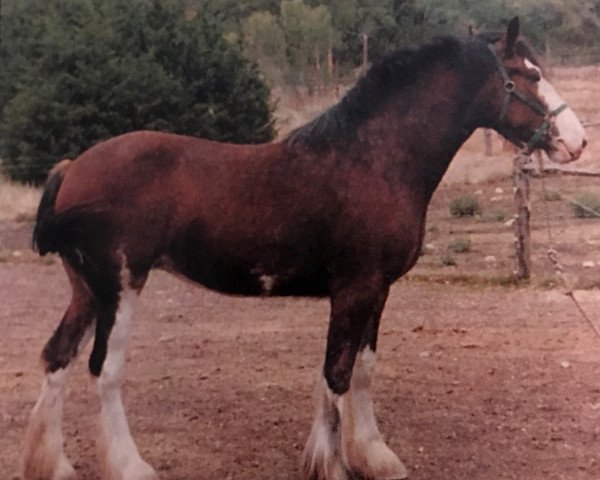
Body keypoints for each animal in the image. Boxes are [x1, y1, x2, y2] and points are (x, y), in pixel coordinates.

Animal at [24, 16, 584, 480]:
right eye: (528, 73)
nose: (576, 141)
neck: (374, 159)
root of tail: (73, 167)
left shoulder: (377, 291)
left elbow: (362, 369)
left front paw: (375, 457)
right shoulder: (354, 288)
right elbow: (335, 374)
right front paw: (331, 465)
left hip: (87, 290)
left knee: (57, 357)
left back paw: (53, 465)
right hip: (120, 285)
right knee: (104, 370)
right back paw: (131, 467)